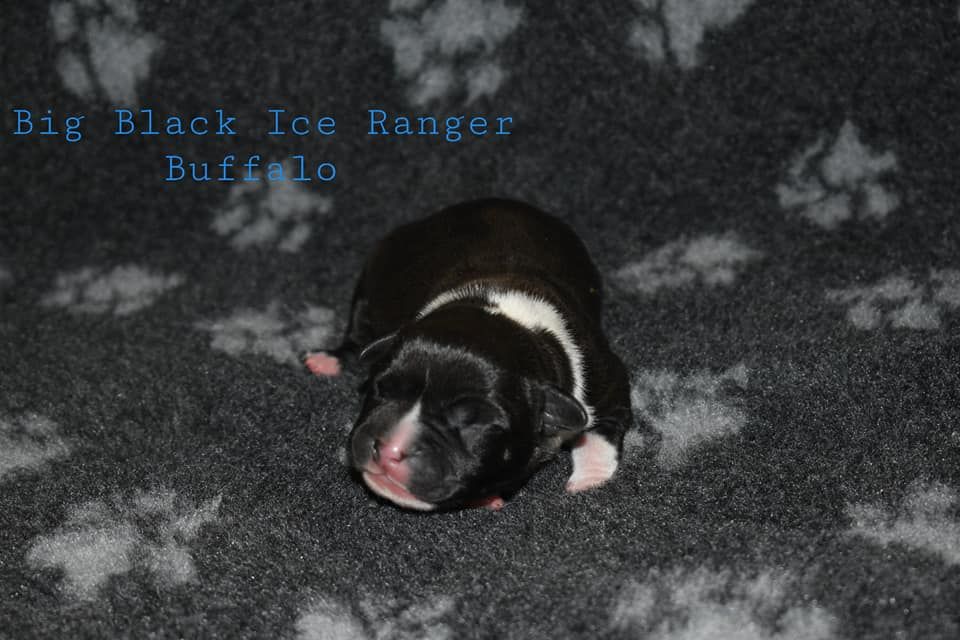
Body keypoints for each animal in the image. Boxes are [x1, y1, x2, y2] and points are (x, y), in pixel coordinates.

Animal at [305, 199, 637, 511]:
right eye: (382, 390)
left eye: (471, 423)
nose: (390, 450)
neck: (502, 312)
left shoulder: (605, 378)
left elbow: (602, 427)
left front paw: (590, 479)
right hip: (374, 278)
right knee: (357, 330)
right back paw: (328, 359)